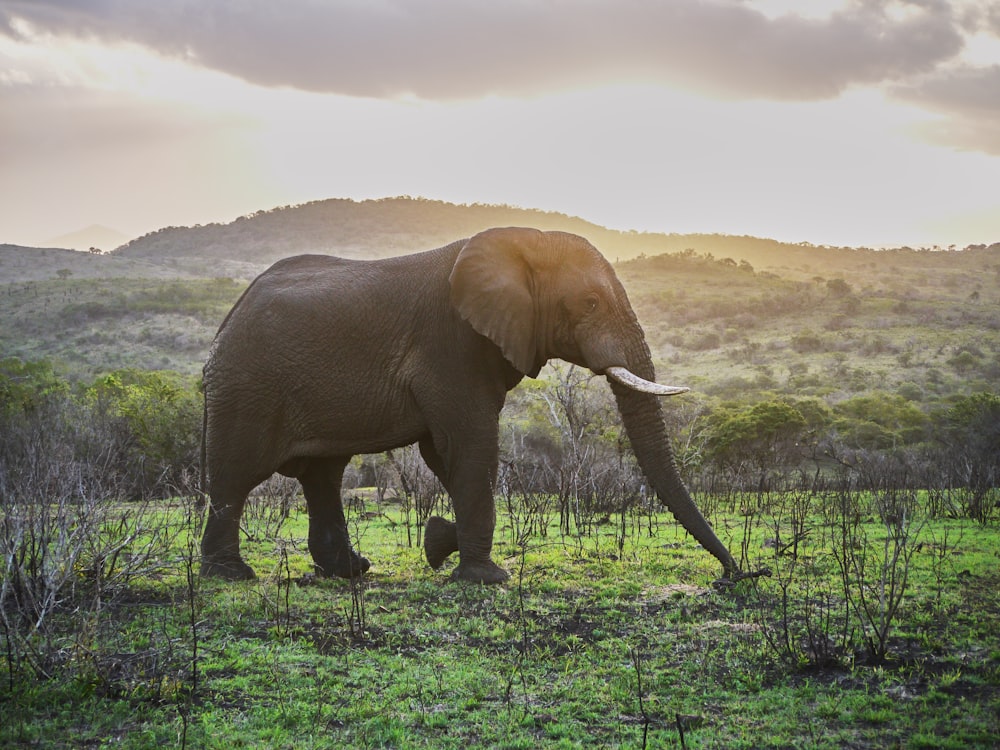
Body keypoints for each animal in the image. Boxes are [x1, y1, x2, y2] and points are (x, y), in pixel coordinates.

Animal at [199, 226, 744, 584]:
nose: (730, 578)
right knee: (236, 472)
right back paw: (231, 575)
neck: (522, 244)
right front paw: (487, 577)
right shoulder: (451, 343)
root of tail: (232, 313)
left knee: (323, 475)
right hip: (245, 384)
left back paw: (351, 571)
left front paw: (440, 542)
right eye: (590, 303)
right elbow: (469, 445)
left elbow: (447, 455)